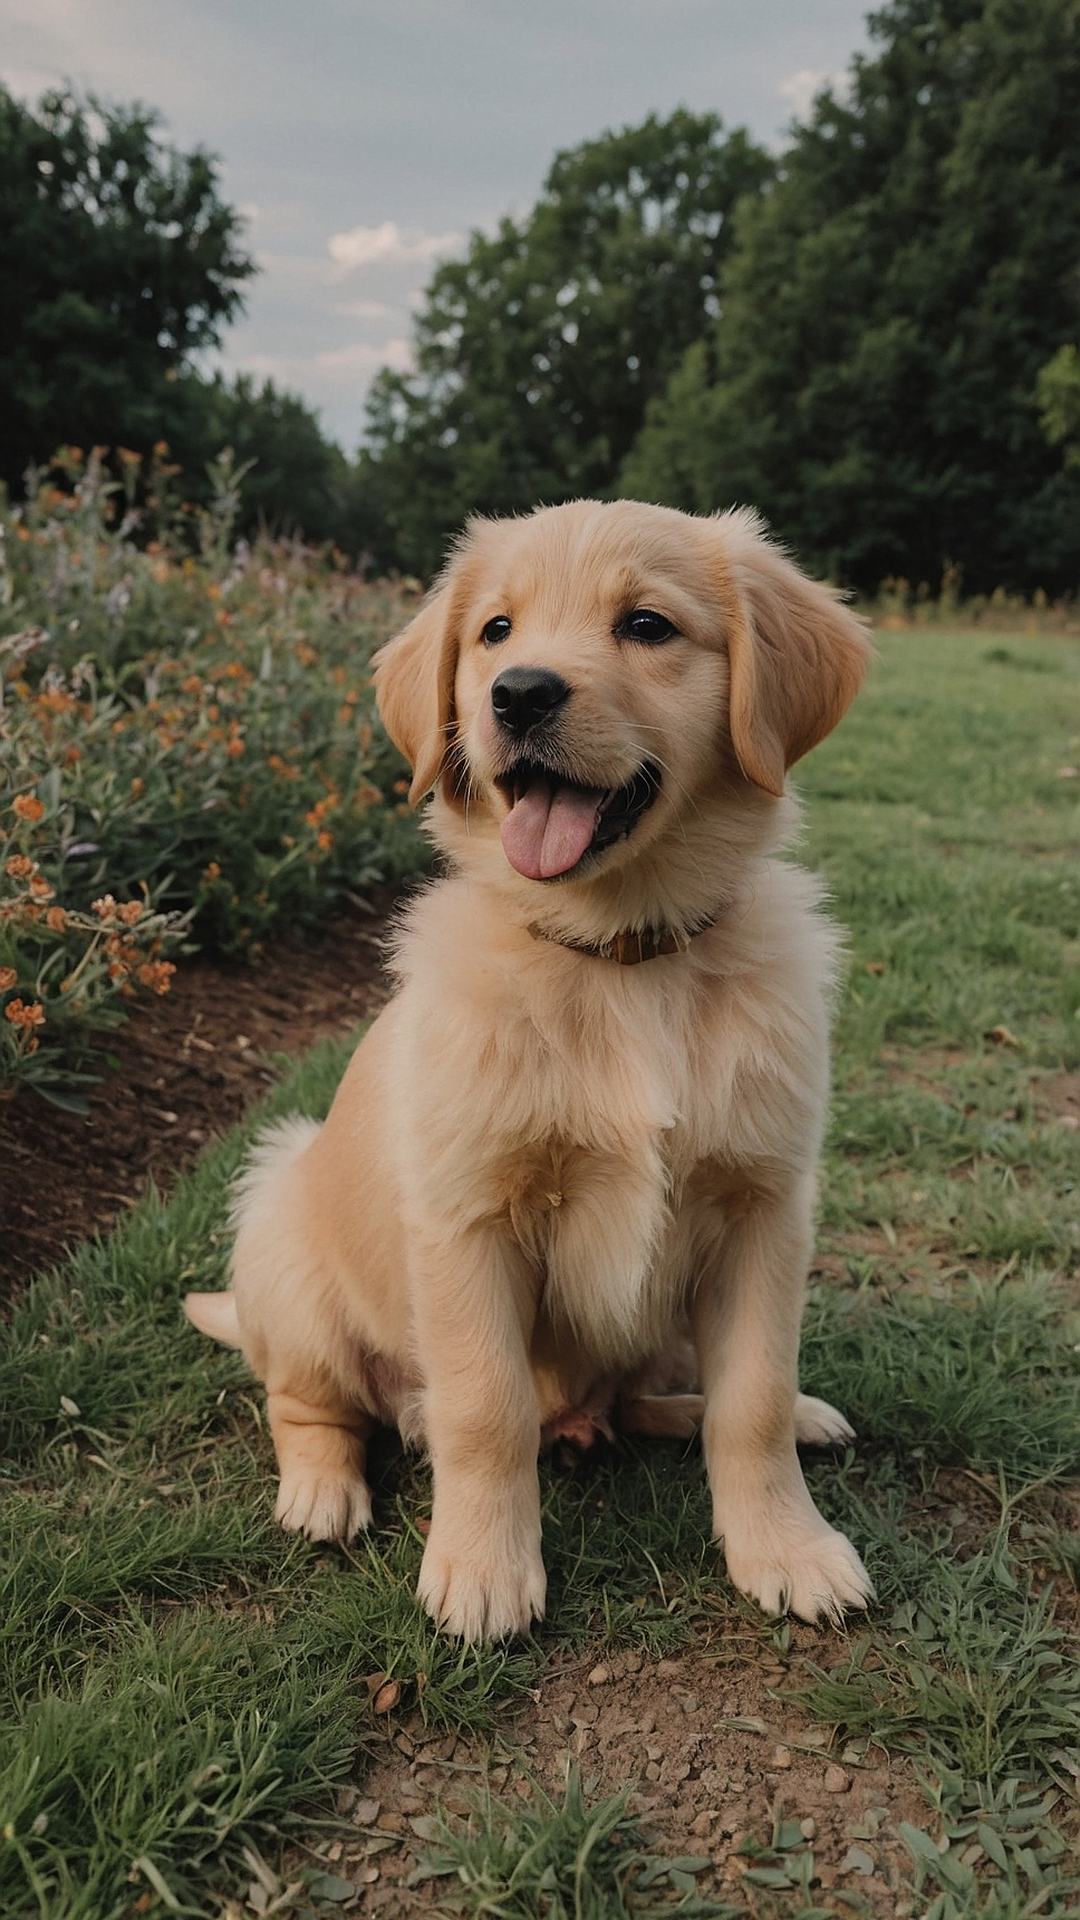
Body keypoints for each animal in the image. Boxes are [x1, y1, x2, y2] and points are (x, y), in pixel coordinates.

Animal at [187, 503, 876, 1643]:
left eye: (646, 625)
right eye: (495, 631)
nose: (519, 694)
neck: (620, 956)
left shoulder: (763, 1208)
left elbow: (755, 1398)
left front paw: (788, 1546)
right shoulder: (469, 1220)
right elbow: (485, 1407)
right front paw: (481, 1570)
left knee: (654, 1397)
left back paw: (776, 1414)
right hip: (282, 1226)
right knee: (312, 1402)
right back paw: (322, 1490)